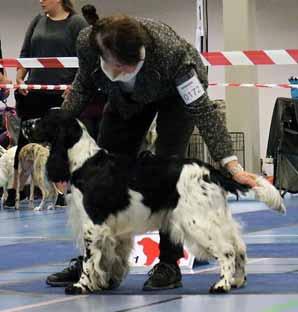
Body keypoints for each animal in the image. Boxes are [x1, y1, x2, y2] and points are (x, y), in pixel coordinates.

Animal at [29, 109, 286, 294]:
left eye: (43, 120)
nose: (26, 123)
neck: (84, 161)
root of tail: (208, 170)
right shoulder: (113, 229)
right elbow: (108, 257)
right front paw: (103, 282)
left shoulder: (93, 225)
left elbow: (89, 258)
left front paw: (80, 285)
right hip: (217, 217)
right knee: (239, 247)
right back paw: (237, 281)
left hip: (198, 221)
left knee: (227, 251)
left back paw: (222, 285)